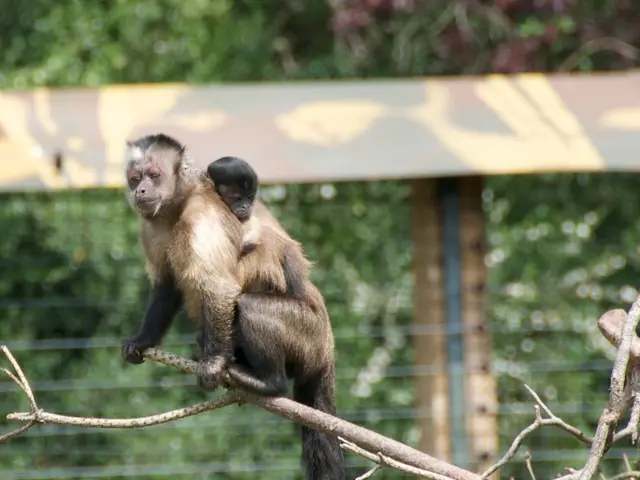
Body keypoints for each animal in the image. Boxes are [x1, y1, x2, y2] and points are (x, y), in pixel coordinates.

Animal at [121, 134, 345, 480]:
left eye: (154, 175)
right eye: (135, 178)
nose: (140, 190)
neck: (177, 207)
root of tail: (327, 350)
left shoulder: (201, 217)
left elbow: (219, 287)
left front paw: (213, 364)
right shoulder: (150, 227)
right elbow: (167, 287)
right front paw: (142, 340)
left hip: (308, 335)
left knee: (249, 304)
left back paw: (267, 382)